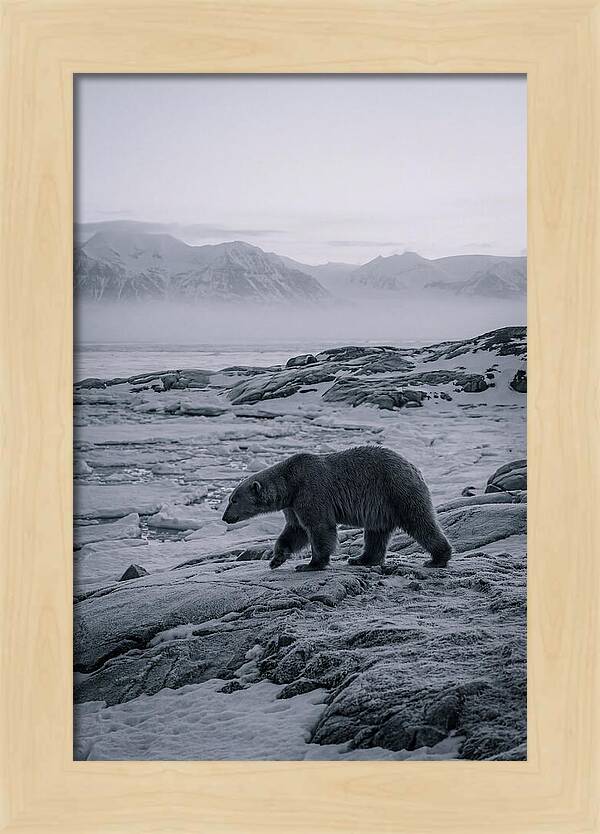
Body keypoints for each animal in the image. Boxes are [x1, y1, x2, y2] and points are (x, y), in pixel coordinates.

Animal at [221, 445, 452, 572]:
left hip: (397, 490)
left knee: (420, 521)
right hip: (380, 506)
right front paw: (276, 559)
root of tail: (414, 467)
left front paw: (310, 564)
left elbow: (319, 527)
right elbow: (295, 530)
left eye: (233, 500)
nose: (225, 517)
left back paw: (438, 558)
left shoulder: (310, 491)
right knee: (376, 533)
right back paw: (360, 559)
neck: (290, 482)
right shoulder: (293, 504)